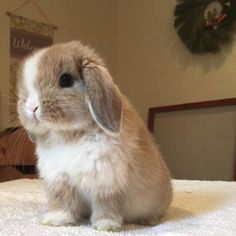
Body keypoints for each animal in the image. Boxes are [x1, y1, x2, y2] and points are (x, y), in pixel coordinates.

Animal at [16, 41, 171, 231]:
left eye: (66, 79)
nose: (31, 107)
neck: (69, 135)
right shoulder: (59, 180)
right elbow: (62, 202)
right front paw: (55, 220)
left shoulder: (106, 182)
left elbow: (106, 204)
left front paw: (106, 225)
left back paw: (148, 221)